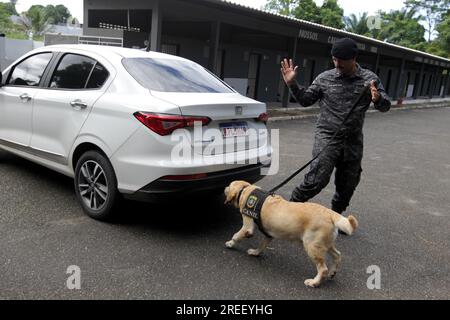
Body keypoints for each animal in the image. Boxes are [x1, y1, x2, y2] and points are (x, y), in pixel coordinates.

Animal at [225, 180, 358, 288]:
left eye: (229, 185)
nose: (224, 188)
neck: (245, 189)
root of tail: (330, 213)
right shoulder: (268, 235)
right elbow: (262, 245)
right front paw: (255, 252)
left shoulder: (247, 226)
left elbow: (236, 235)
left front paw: (230, 243)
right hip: (325, 244)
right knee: (337, 255)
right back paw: (333, 272)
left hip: (312, 246)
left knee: (323, 268)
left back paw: (314, 282)